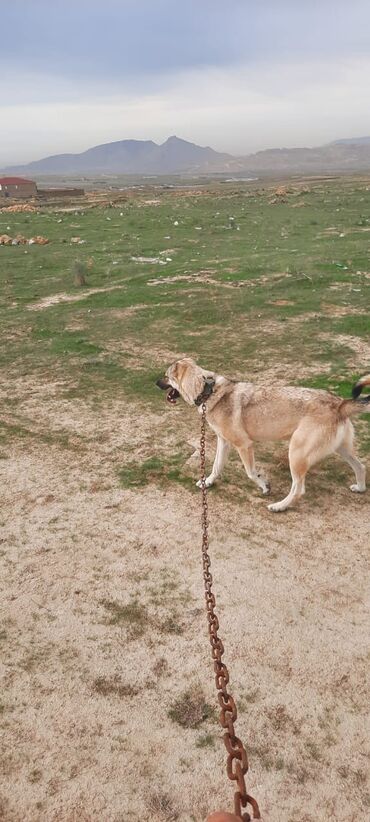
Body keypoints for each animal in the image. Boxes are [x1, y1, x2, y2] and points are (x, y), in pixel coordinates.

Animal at [157, 358, 370, 512]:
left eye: (166, 376)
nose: (155, 382)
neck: (208, 390)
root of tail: (339, 403)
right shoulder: (223, 442)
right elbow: (216, 467)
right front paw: (207, 482)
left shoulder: (244, 445)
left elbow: (251, 472)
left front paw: (265, 486)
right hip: (341, 450)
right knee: (360, 467)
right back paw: (360, 488)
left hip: (296, 454)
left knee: (298, 488)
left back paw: (279, 506)